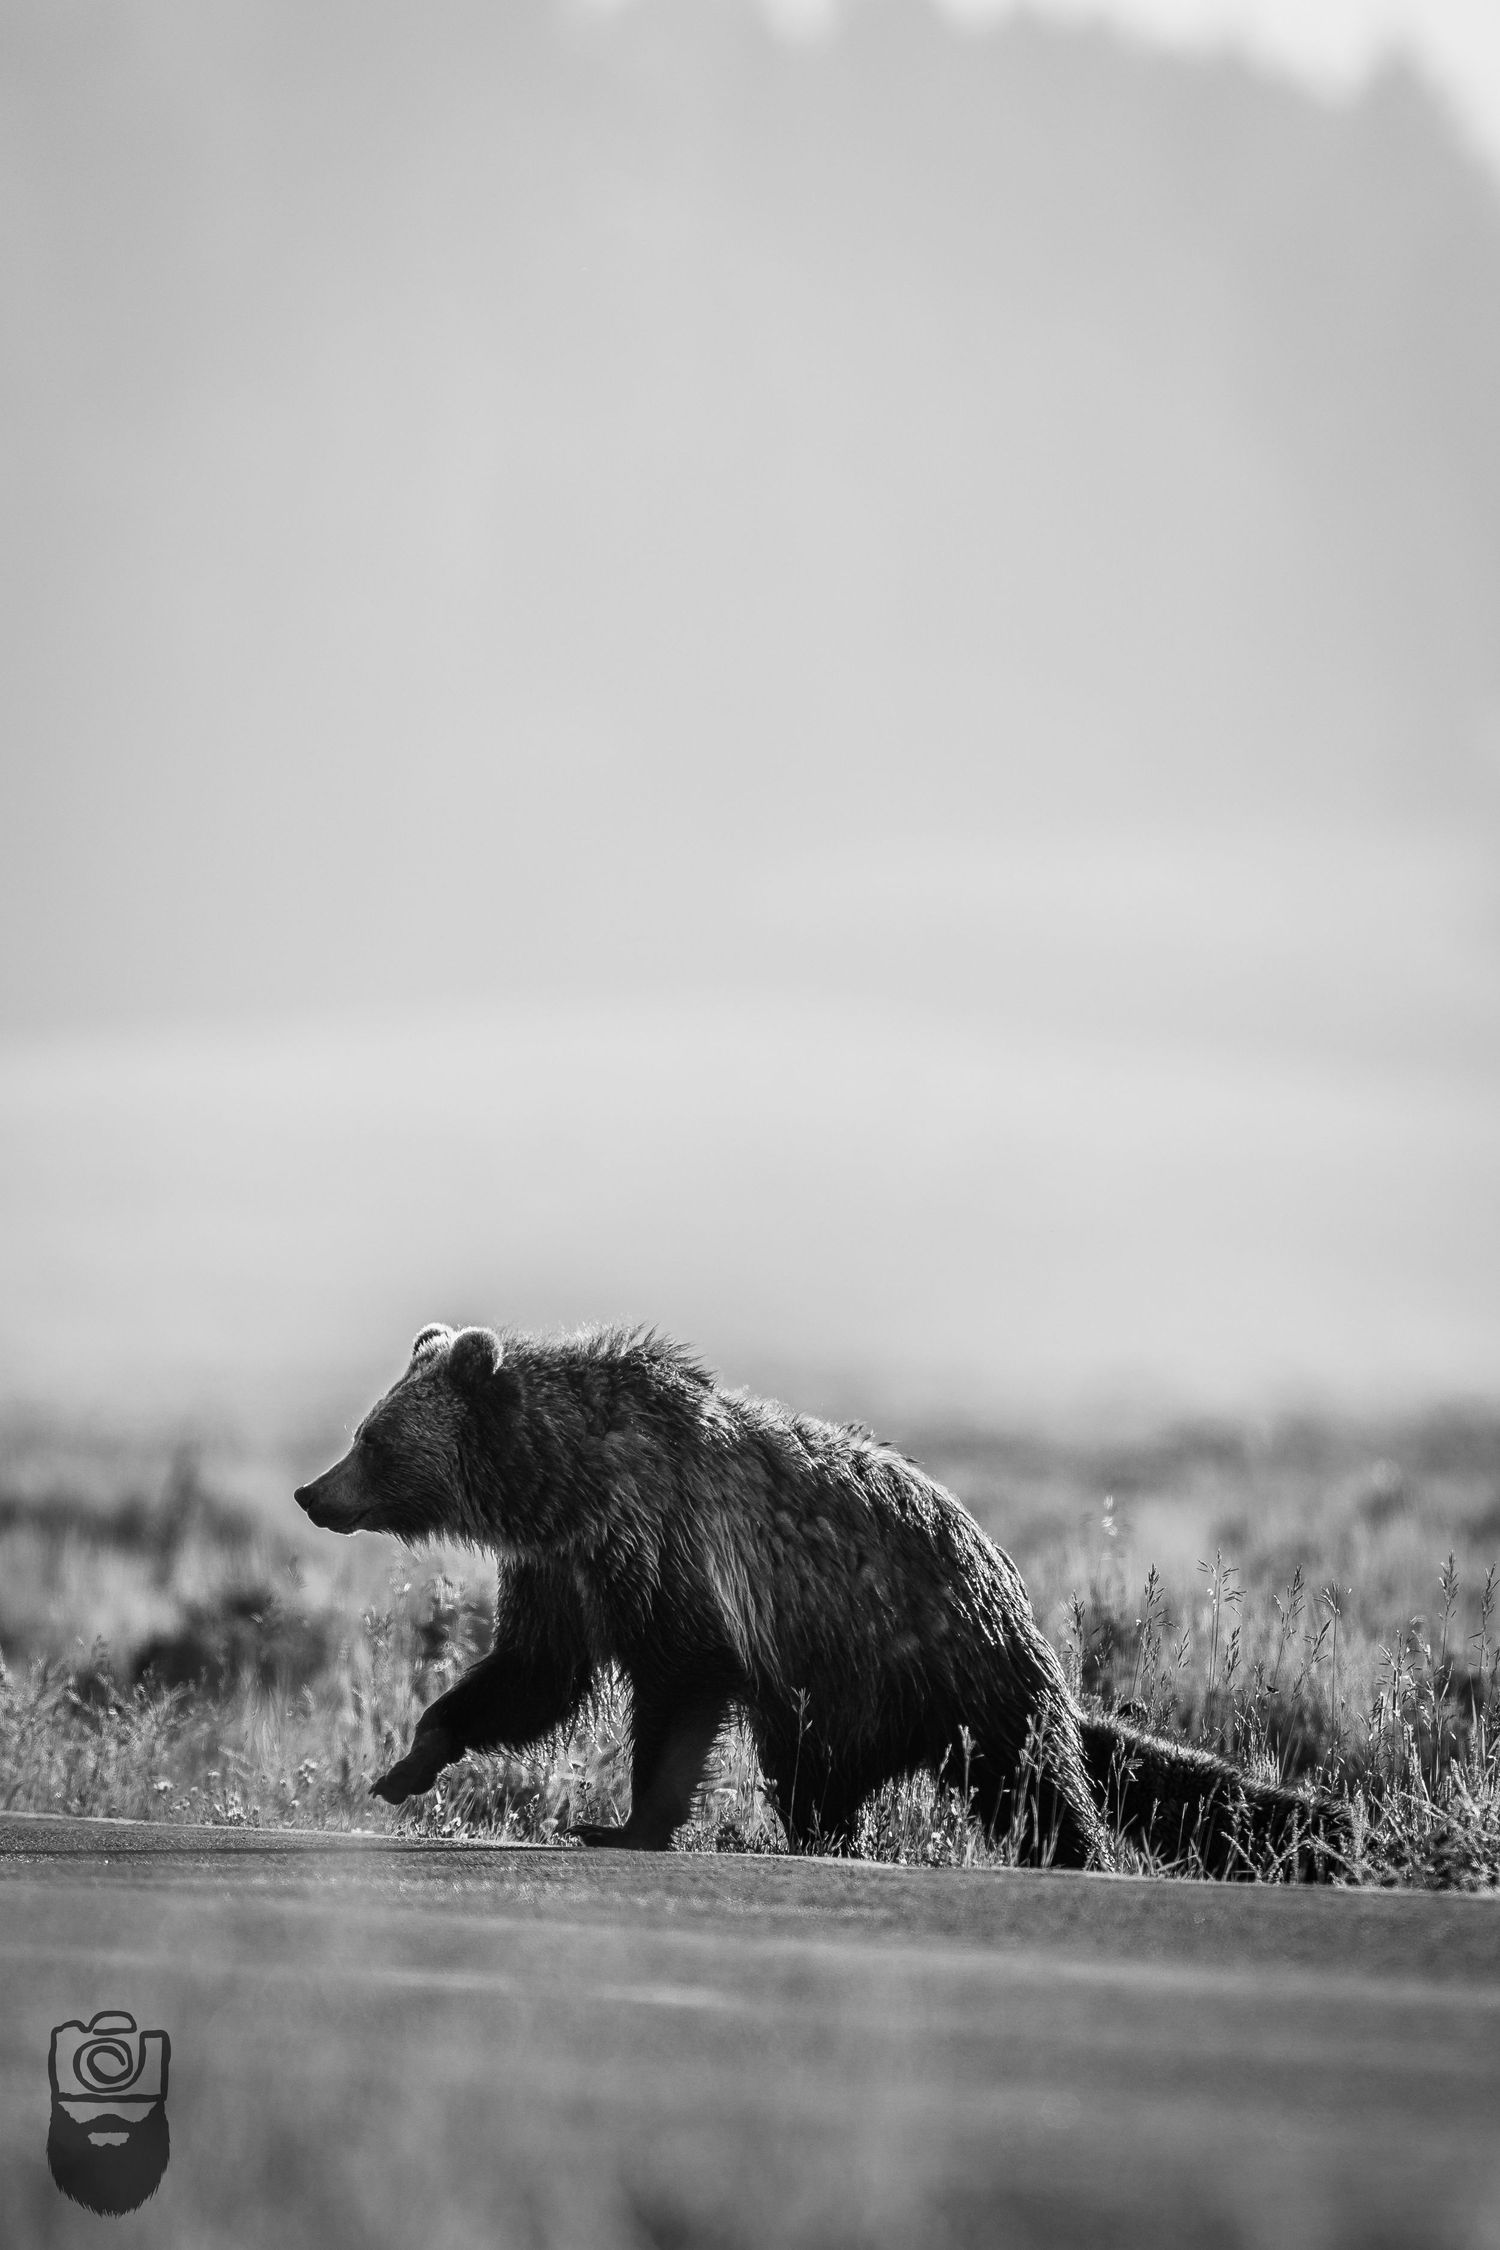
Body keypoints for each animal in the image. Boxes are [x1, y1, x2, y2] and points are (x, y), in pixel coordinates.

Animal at [294, 1324, 1344, 1875]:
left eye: (371, 1439)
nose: (311, 1493)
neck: (565, 1487)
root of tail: (1019, 1606)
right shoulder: (564, 1573)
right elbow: (530, 1676)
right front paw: (409, 1761)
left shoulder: (674, 1564)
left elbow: (677, 1693)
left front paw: (625, 1822)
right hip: (851, 1701)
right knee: (821, 1781)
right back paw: (828, 1836)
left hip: (930, 1659)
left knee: (1035, 1786)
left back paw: (1075, 1853)